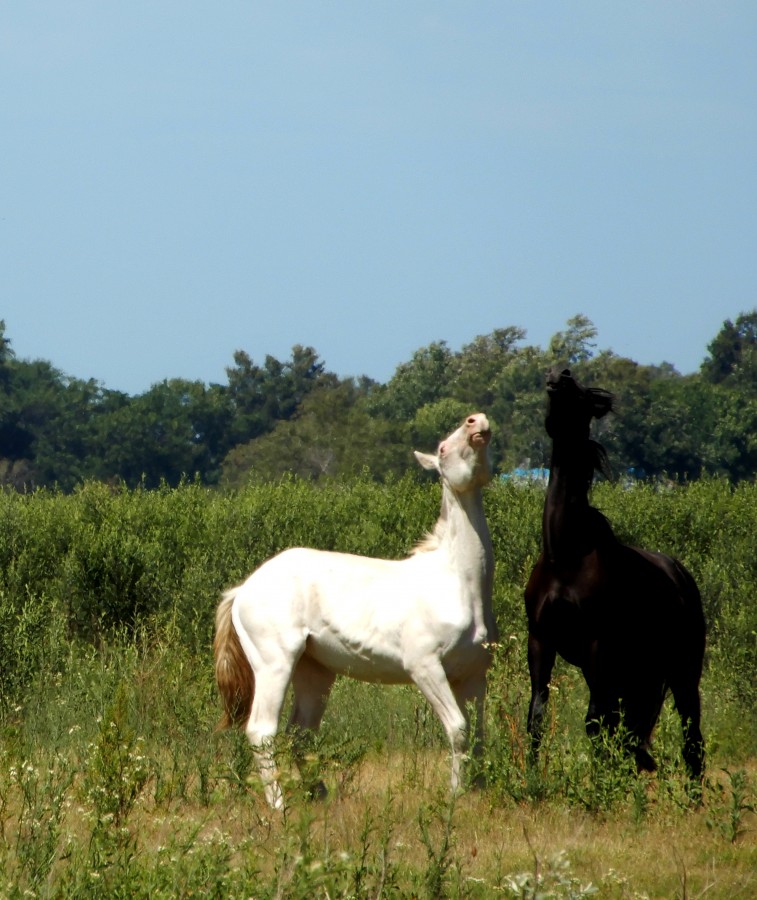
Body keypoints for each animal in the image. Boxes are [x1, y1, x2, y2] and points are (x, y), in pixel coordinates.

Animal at [214, 414, 496, 808]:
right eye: (442, 448)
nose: (477, 421)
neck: (457, 582)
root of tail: (242, 591)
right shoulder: (424, 668)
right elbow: (458, 729)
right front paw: (454, 797)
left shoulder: (474, 676)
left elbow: (480, 735)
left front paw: (479, 793)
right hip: (274, 665)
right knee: (262, 731)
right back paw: (279, 805)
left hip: (314, 672)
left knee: (301, 732)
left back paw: (318, 794)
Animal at [524, 370, 704, 776]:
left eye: (579, 394)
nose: (558, 376)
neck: (565, 555)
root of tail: (682, 578)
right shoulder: (541, 642)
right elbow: (537, 715)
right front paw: (529, 778)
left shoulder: (597, 647)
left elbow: (596, 721)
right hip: (641, 672)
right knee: (632, 730)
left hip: (682, 672)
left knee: (691, 739)